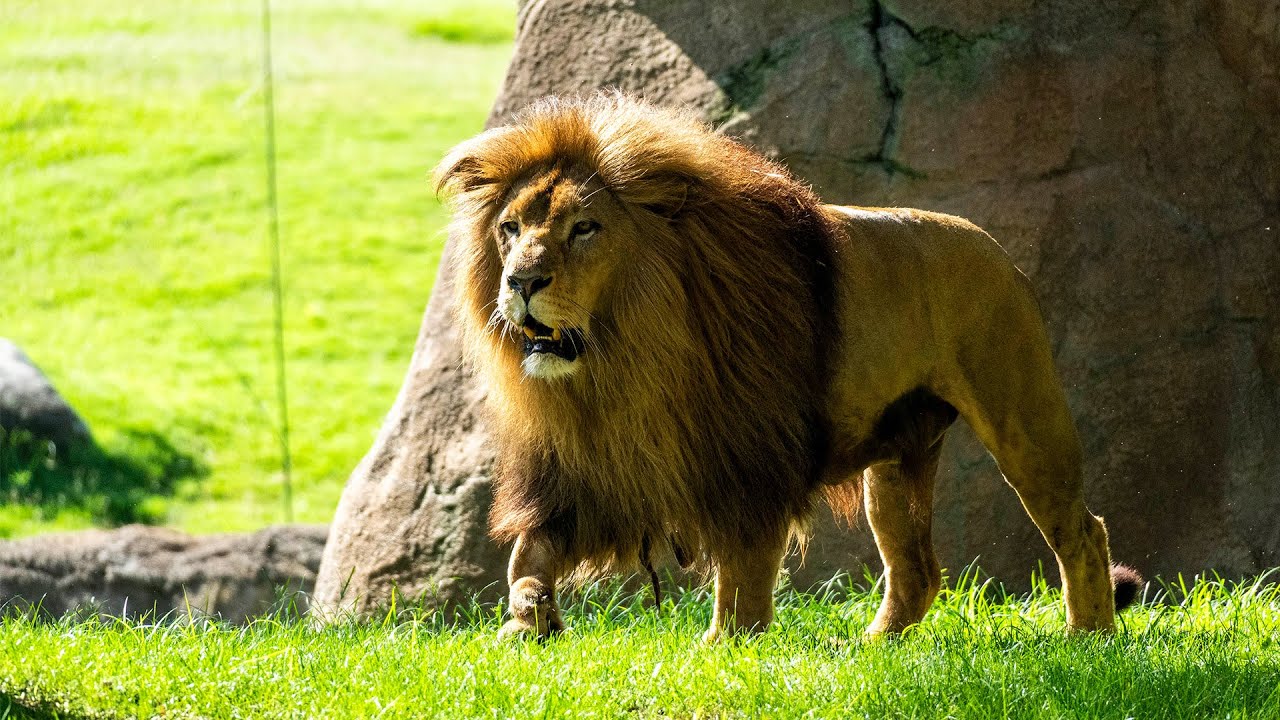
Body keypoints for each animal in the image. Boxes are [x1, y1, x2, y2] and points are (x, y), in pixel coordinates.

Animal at [433, 92, 1142, 641]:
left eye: (584, 229)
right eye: (510, 229)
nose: (521, 282)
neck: (626, 360)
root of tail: (998, 249)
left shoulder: (750, 462)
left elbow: (744, 574)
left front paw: (724, 648)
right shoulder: (588, 472)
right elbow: (528, 553)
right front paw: (528, 618)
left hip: (1025, 421)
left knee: (1083, 531)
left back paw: (1089, 638)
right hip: (892, 463)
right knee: (917, 571)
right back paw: (871, 651)